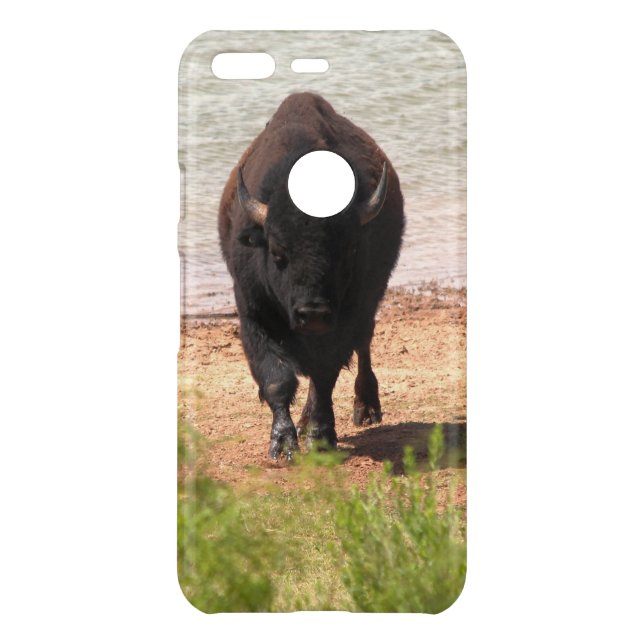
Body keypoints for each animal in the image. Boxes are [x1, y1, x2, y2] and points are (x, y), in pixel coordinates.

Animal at [218, 92, 404, 460]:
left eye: (348, 251)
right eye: (278, 253)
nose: (313, 313)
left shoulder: (344, 320)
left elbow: (324, 375)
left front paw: (319, 437)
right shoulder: (254, 316)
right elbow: (277, 379)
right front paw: (283, 444)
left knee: (363, 346)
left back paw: (366, 409)